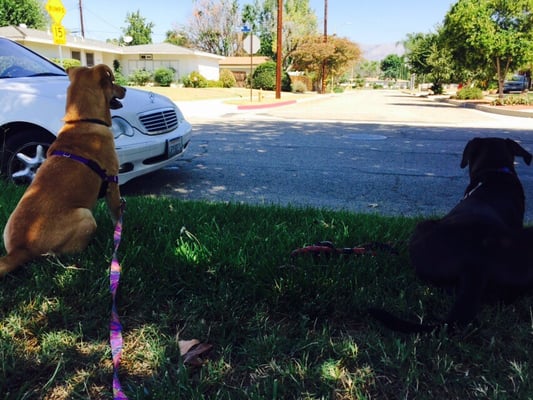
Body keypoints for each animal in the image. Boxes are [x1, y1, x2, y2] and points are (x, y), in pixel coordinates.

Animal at [0, 65, 125, 278]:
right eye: (112, 82)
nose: (125, 90)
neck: (82, 120)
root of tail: (19, 249)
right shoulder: (112, 180)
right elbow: (116, 213)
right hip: (85, 217)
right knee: (63, 255)